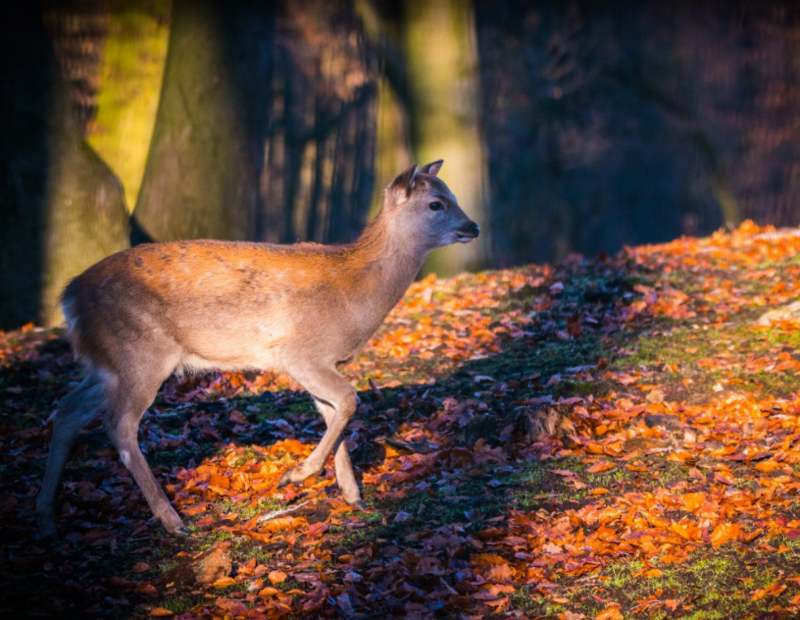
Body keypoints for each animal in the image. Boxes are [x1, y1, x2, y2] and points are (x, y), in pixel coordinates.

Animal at [37, 160, 482, 536]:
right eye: (436, 203)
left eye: (452, 195)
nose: (474, 227)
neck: (354, 295)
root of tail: (69, 299)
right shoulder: (301, 352)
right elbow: (349, 401)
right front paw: (297, 475)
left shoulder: (318, 361)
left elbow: (334, 412)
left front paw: (352, 494)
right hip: (140, 353)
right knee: (119, 424)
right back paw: (173, 520)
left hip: (108, 364)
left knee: (67, 408)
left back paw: (45, 518)